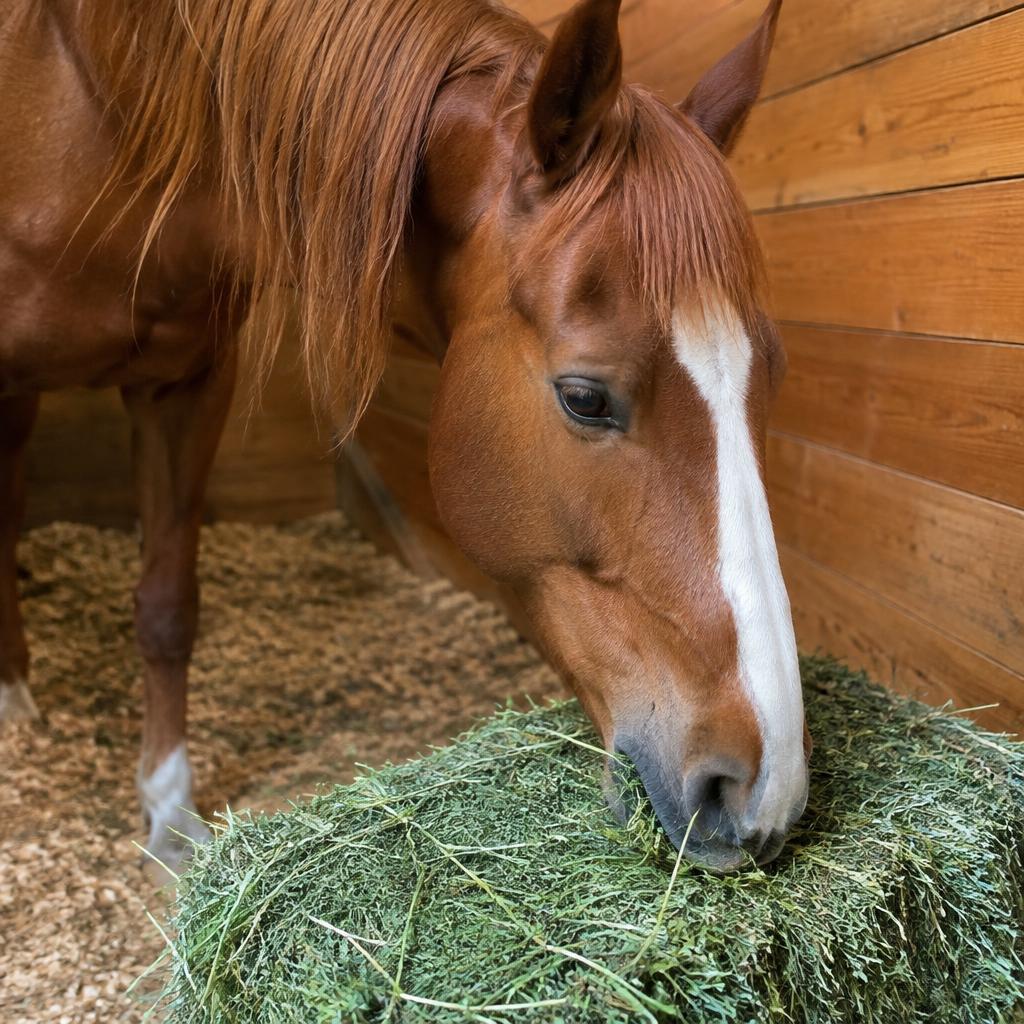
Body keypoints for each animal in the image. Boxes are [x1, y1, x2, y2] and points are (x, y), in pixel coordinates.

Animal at [0, 0, 808, 872]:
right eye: (585, 399)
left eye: (771, 377)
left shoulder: (189, 382)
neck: (100, 103)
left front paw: (170, 815)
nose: (765, 795)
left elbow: (166, 606)